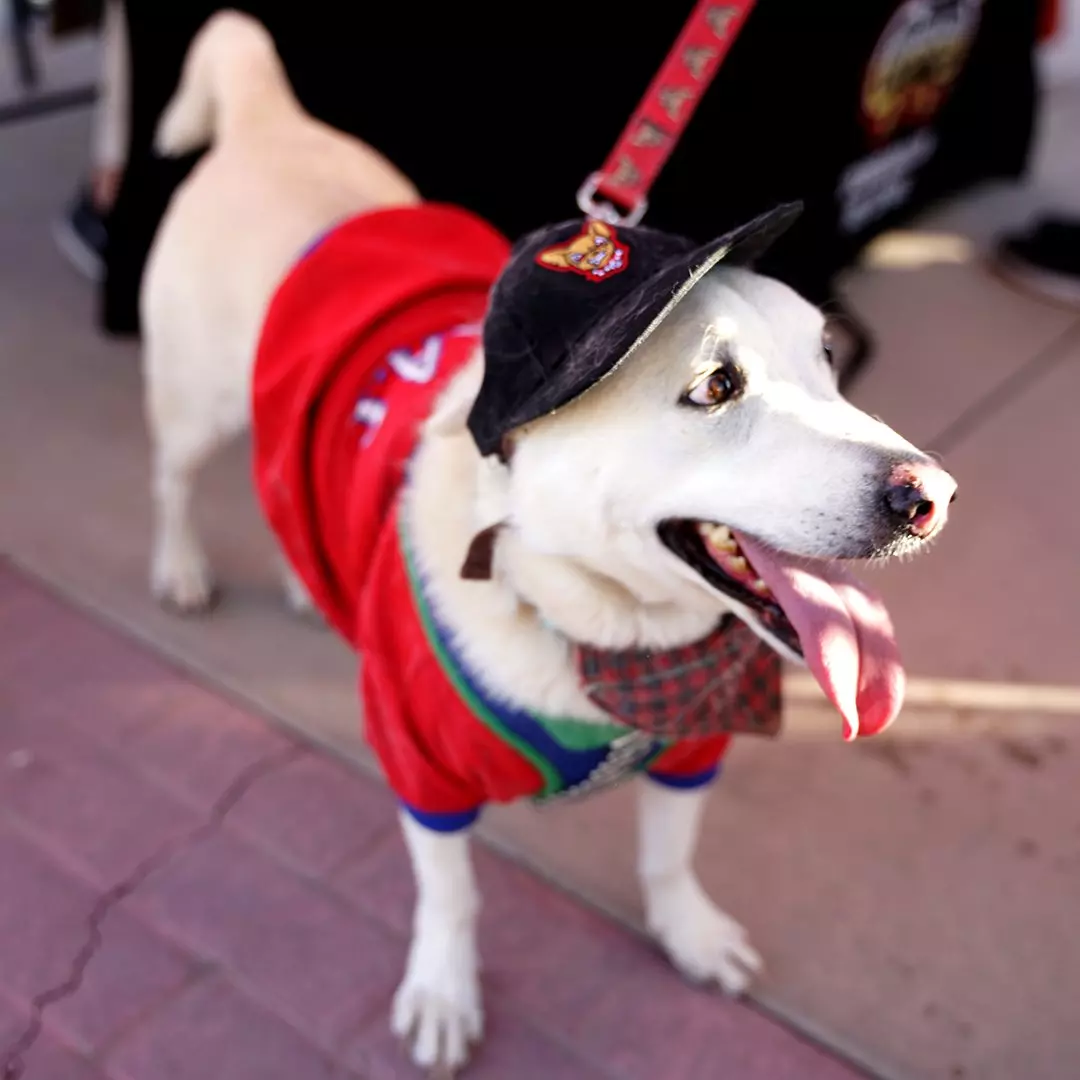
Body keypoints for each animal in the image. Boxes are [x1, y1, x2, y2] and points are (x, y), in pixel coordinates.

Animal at [141, 12, 954, 1075]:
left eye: (827, 358)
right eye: (715, 387)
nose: (931, 496)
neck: (601, 633)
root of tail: (273, 121)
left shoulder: (696, 746)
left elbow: (669, 855)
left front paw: (690, 935)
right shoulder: (421, 767)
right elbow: (449, 898)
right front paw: (443, 994)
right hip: (194, 400)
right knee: (175, 479)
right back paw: (180, 568)